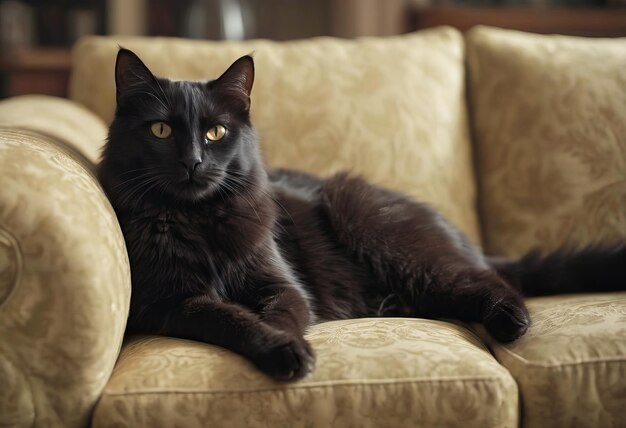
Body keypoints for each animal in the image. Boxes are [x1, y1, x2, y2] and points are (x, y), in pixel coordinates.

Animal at [98, 49, 624, 382]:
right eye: (162, 130)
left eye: (215, 133)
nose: (193, 161)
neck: (200, 220)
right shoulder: (173, 304)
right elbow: (232, 319)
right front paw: (283, 351)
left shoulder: (282, 284)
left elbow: (284, 314)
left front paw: (291, 349)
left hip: (376, 227)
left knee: (488, 281)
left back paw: (511, 321)